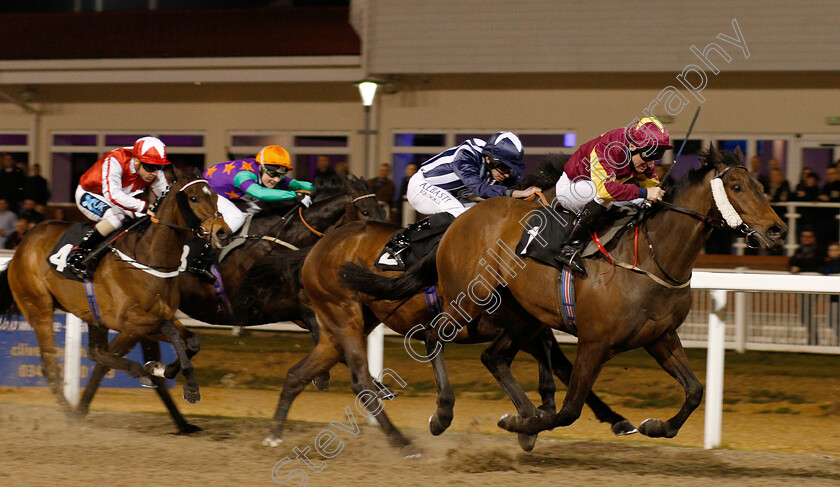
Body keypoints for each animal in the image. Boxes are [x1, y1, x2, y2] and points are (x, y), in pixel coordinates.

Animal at [0, 167, 230, 420]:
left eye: (214, 196)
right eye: (194, 198)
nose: (223, 233)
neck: (148, 258)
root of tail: (21, 248)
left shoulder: (158, 314)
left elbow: (191, 341)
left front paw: (161, 368)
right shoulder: (126, 319)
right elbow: (170, 330)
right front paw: (189, 386)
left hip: (92, 315)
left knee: (96, 353)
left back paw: (135, 372)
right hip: (38, 307)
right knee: (50, 365)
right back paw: (71, 415)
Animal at [342, 143, 788, 444]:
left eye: (759, 183)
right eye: (736, 186)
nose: (778, 229)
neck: (651, 257)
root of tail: (460, 220)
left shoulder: (659, 336)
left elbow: (695, 391)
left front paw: (655, 425)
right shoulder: (594, 342)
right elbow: (569, 408)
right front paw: (518, 423)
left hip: (521, 315)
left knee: (494, 357)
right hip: (469, 300)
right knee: (436, 335)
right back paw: (443, 415)